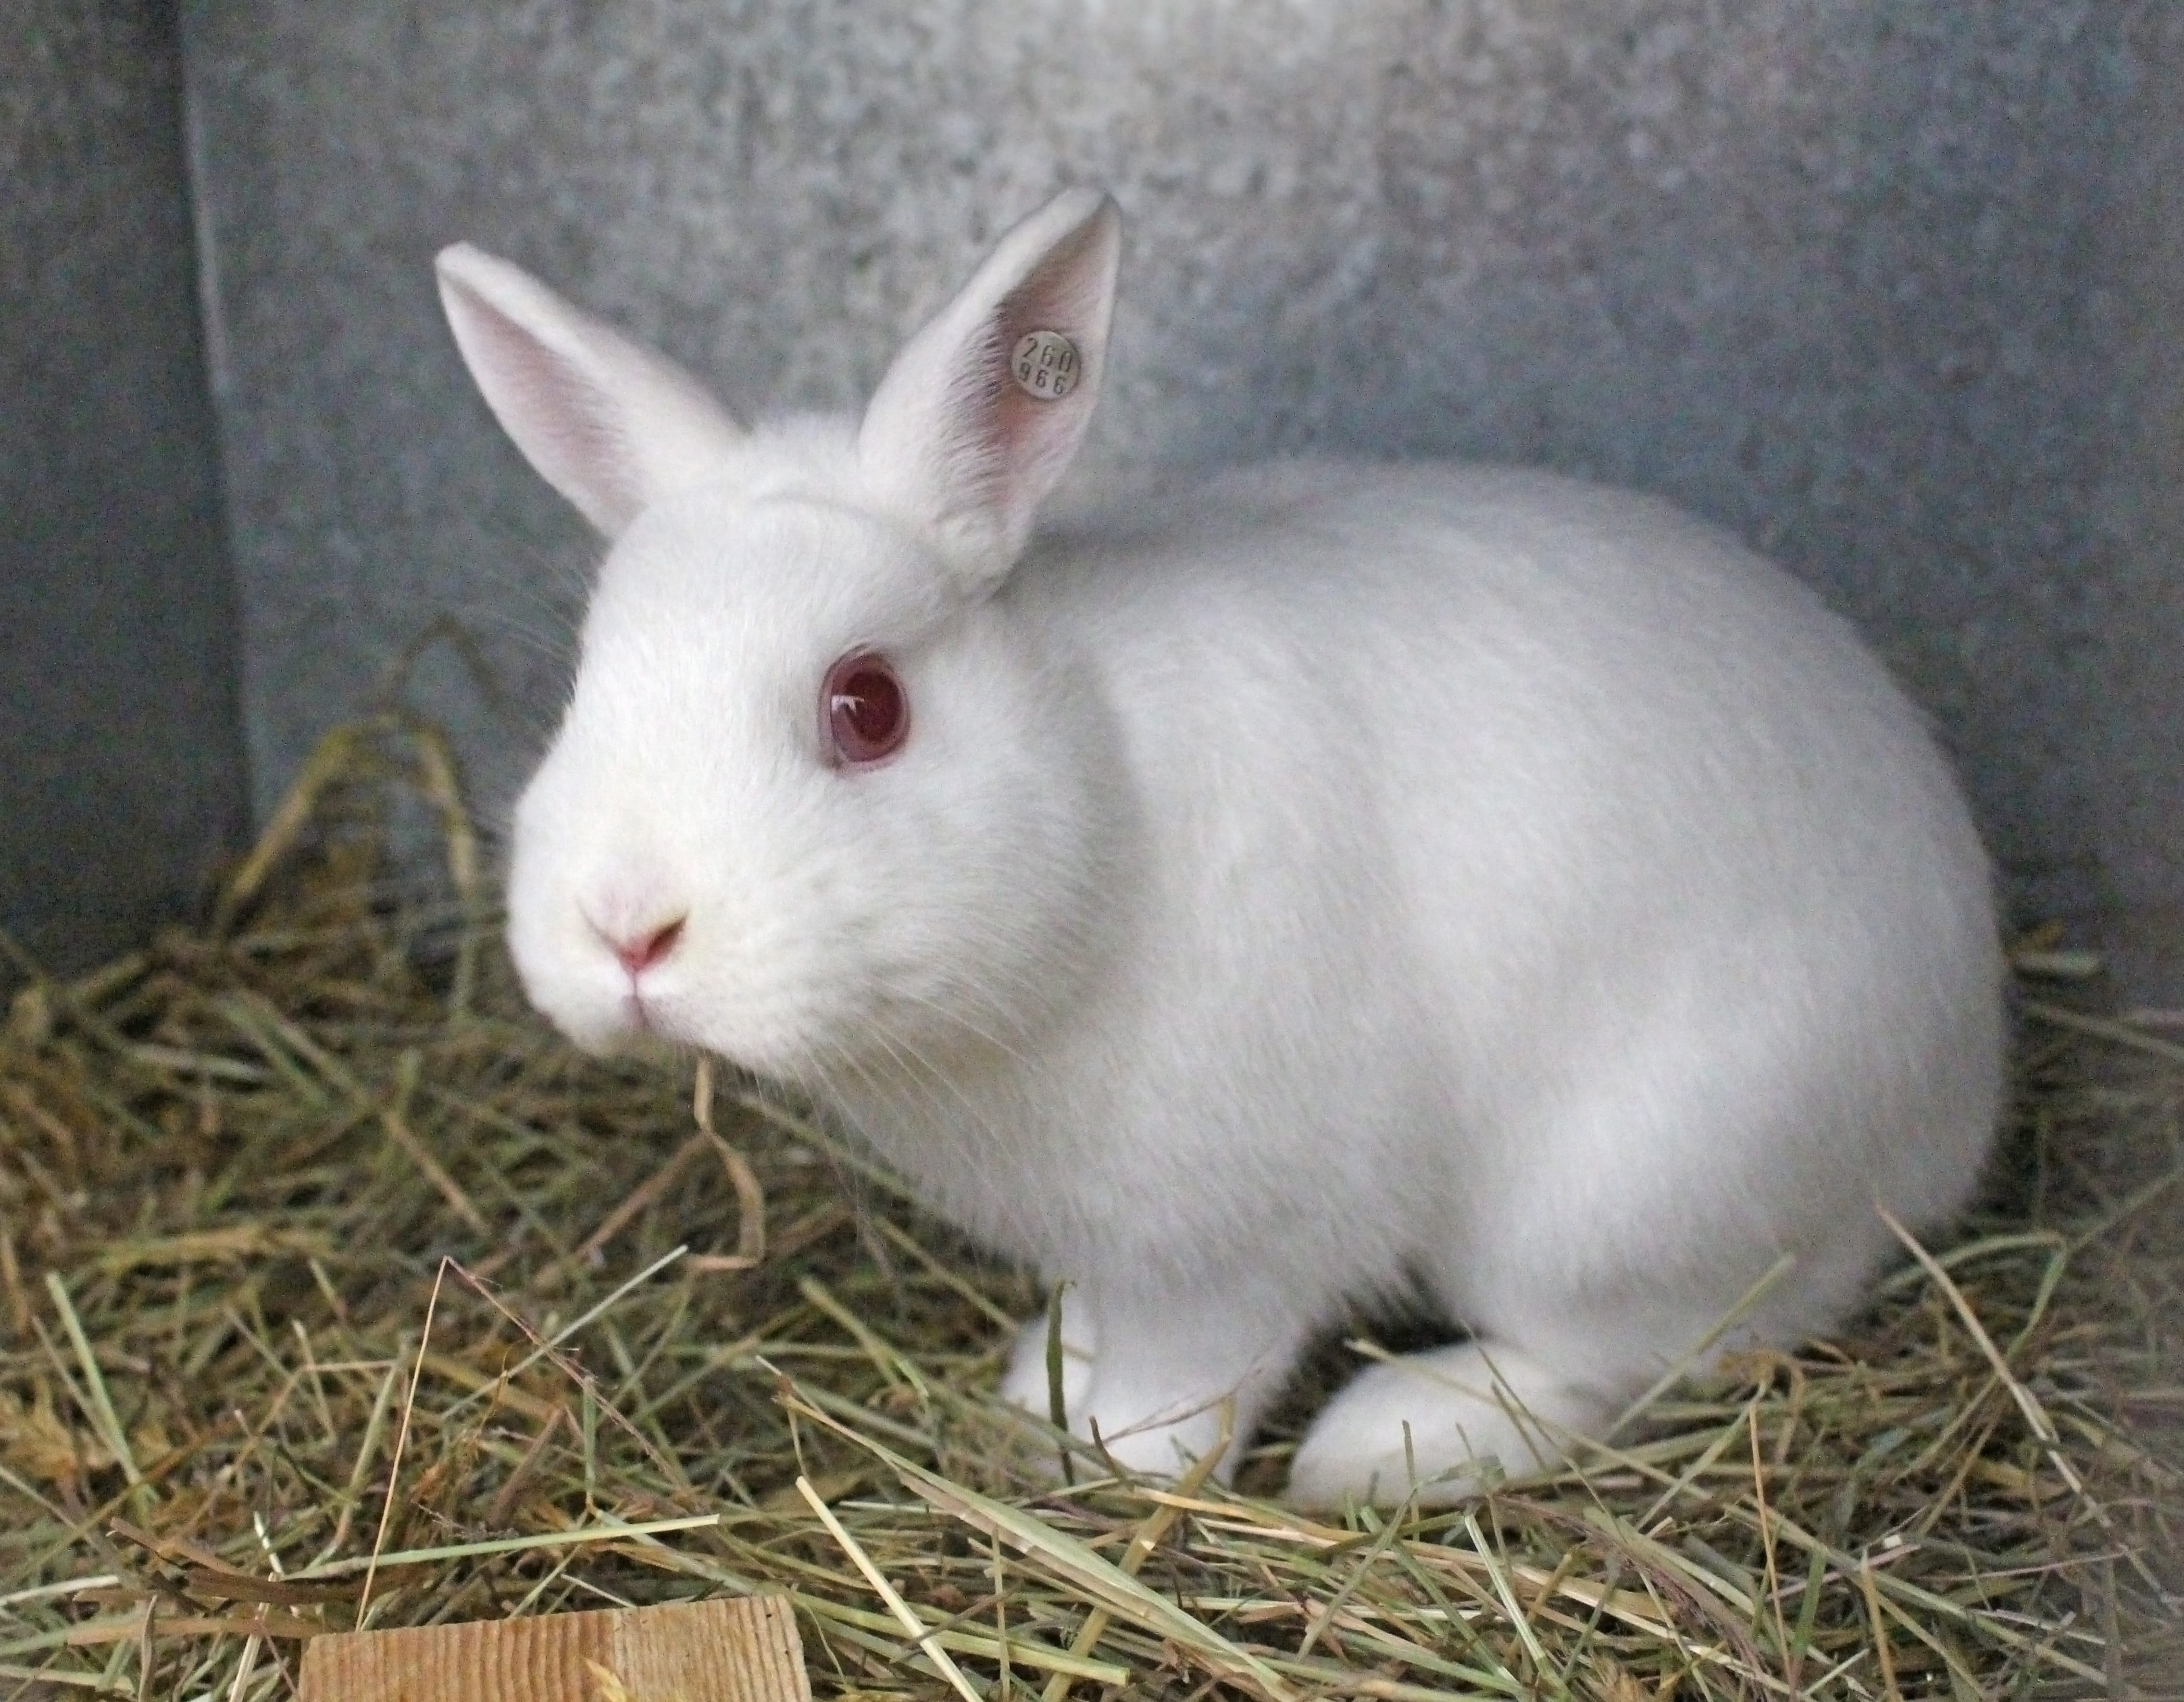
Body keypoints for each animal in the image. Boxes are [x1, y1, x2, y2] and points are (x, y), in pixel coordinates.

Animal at [434, 193, 2000, 1512]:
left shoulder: (1237, 1240)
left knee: (1634, 1353)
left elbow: (1195, 1367)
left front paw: (1116, 1450)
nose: (628, 926)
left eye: (867, 705)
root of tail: (1956, 1088)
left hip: (1621, 1199)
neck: (1107, 792)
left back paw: (1388, 1443)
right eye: (584, 682)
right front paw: (1038, 1381)